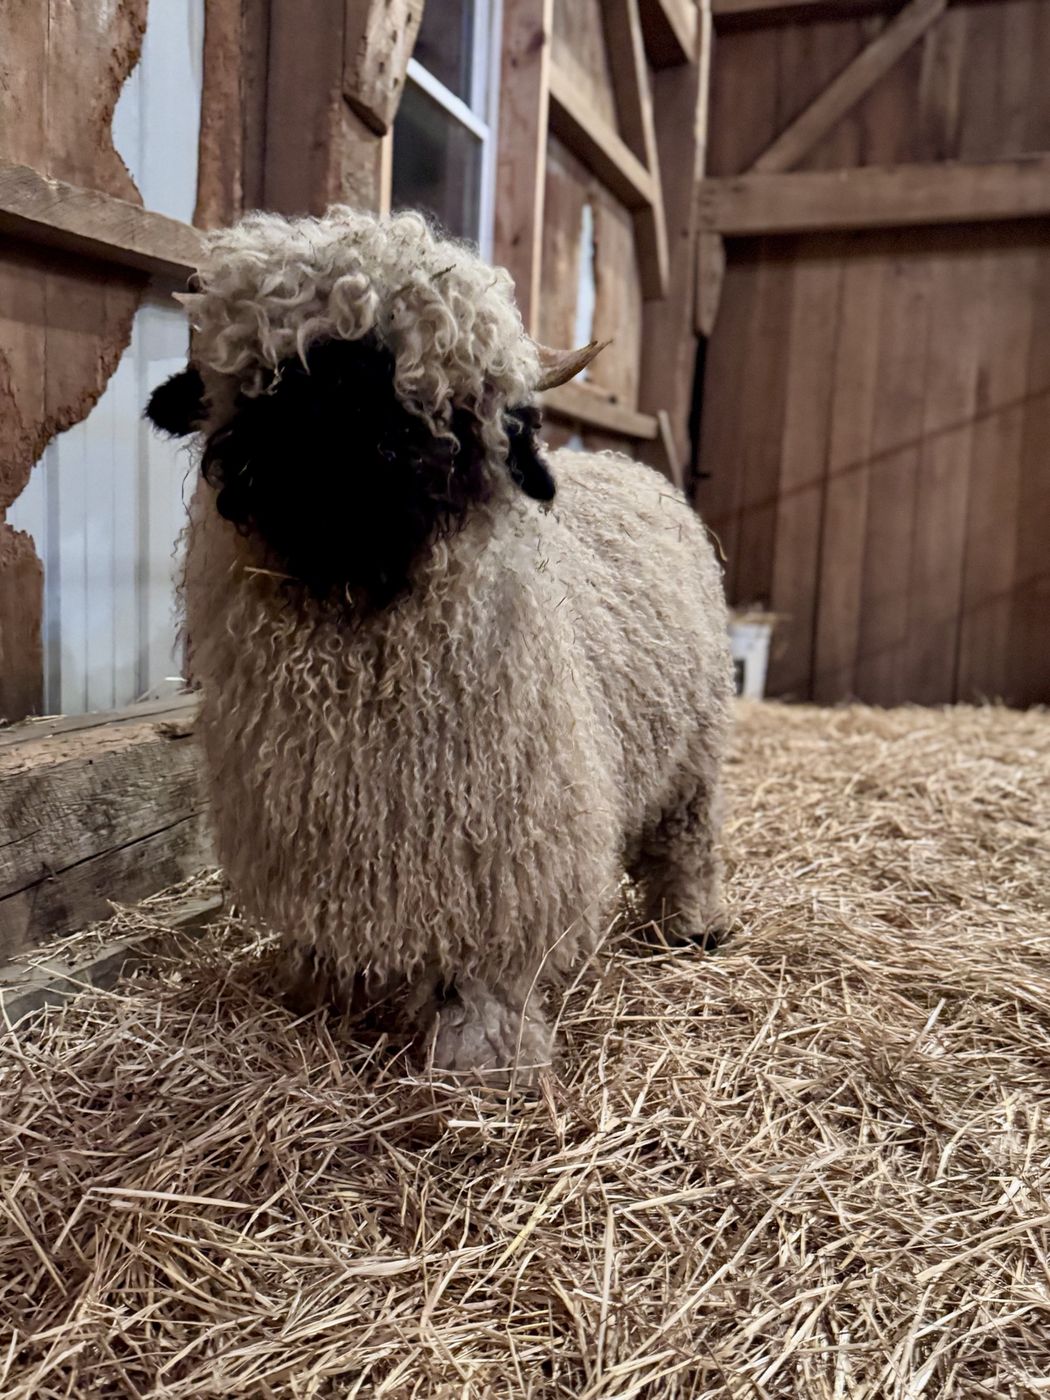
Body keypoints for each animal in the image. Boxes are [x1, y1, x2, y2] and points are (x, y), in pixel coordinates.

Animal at [147, 207, 732, 1081]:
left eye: (447, 406)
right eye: (274, 378)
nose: (338, 467)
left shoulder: (506, 841)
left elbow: (490, 963)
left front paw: (485, 1051)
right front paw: (321, 991)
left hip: (695, 744)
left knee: (686, 834)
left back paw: (691, 923)